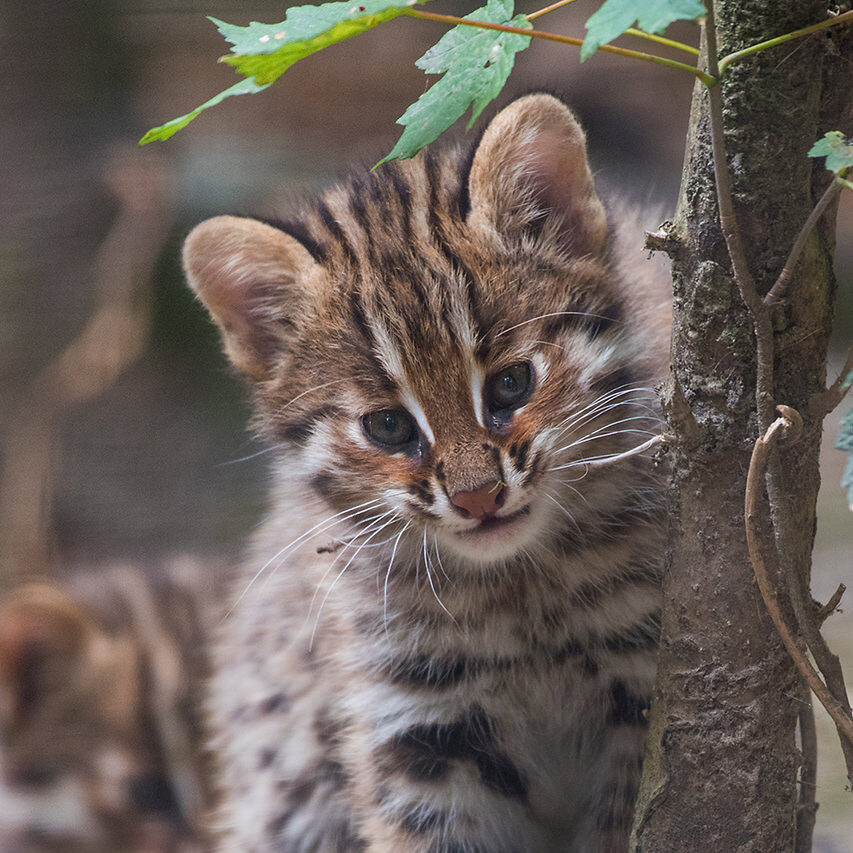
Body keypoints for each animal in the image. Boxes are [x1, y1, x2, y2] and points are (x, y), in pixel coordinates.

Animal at [186, 95, 672, 852]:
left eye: (510, 384)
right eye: (387, 426)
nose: (477, 498)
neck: (521, 591)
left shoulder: (638, 688)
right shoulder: (420, 725)